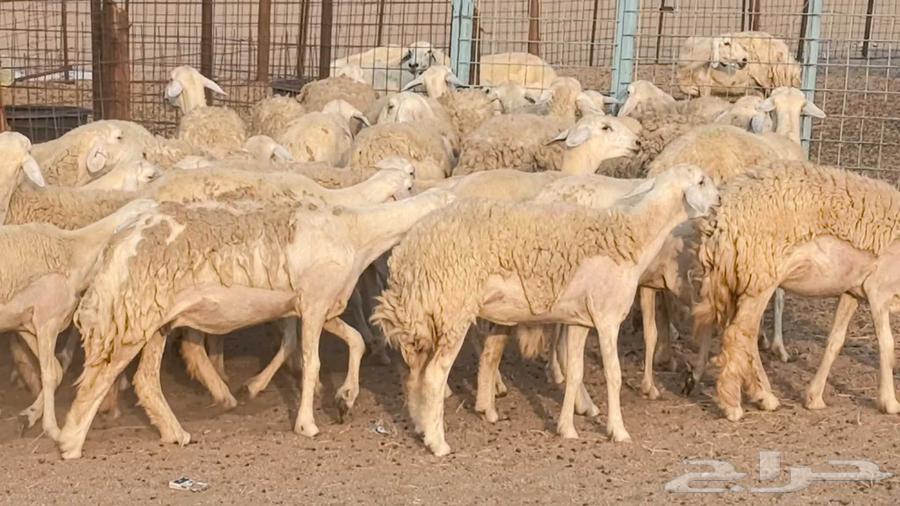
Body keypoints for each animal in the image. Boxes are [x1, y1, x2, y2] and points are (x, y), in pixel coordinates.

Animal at [0, 198, 158, 439]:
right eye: (147, 216)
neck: (74, 252)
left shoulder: (27, 324)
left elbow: (56, 372)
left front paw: (28, 417)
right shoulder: (47, 321)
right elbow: (48, 374)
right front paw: (53, 429)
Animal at [58, 189, 457, 459]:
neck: (356, 232)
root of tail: (117, 244)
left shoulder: (321, 306)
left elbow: (356, 341)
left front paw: (345, 400)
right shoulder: (314, 303)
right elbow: (312, 364)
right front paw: (307, 425)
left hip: (155, 319)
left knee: (145, 381)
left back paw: (175, 433)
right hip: (131, 314)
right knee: (98, 378)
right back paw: (70, 442)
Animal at [372, 164, 718, 455]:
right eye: (701, 181)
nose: (719, 201)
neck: (632, 236)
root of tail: (408, 252)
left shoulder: (581, 320)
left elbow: (575, 372)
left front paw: (567, 428)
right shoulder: (607, 318)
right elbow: (614, 375)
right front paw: (618, 431)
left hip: (427, 313)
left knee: (415, 373)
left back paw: (421, 428)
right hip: (451, 310)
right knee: (433, 376)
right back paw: (439, 443)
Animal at [693, 161, 900, 423]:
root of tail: (717, 220)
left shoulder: (852, 291)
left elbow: (835, 342)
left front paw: (814, 398)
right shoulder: (879, 290)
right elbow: (887, 345)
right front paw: (890, 403)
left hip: (737, 278)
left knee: (742, 335)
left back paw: (763, 396)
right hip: (760, 276)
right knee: (739, 334)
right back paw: (734, 405)